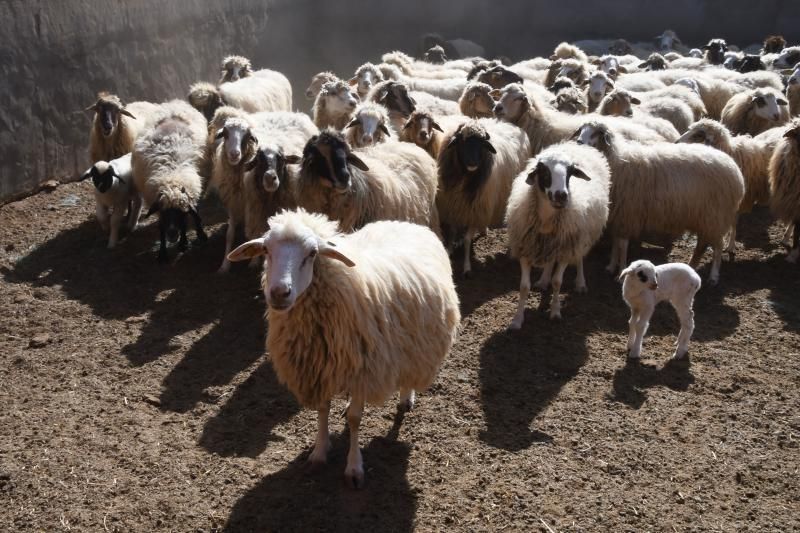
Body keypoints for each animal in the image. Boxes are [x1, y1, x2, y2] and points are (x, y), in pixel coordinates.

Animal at [227, 207, 462, 486]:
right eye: (266, 250)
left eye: (312, 253)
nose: (279, 293)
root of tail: (404, 223)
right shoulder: (320, 368)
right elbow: (323, 409)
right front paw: (319, 452)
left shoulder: (364, 368)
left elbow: (355, 419)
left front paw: (354, 467)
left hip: (416, 344)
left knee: (409, 371)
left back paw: (406, 397)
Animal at [438, 116, 532, 274]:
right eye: (462, 141)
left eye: (482, 144)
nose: (472, 163)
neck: (465, 176)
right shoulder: (452, 205)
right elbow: (451, 232)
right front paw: (449, 251)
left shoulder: (475, 210)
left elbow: (468, 239)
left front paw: (467, 267)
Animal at [506, 141, 612, 324]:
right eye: (543, 171)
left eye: (570, 172)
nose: (561, 195)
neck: (546, 221)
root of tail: (575, 144)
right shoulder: (525, 248)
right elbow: (524, 287)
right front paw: (517, 319)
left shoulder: (566, 248)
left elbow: (557, 282)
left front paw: (555, 311)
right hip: (553, 244)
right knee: (550, 261)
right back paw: (543, 280)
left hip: (581, 236)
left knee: (579, 257)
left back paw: (580, 283)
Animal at [576, 120, 744, 284]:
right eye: (582, 129)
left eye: (596, 133)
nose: (578, 142)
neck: (617, 162)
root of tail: (734, 168)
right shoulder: (619, 214)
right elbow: (616, 243)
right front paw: (611, 266)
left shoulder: (627, 212)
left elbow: (622, 246)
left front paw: (620, 273)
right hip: (707, 217)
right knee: (705, 244)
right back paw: (693, 265)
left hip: (715, 215)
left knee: (717, 245)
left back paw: (714, 275)